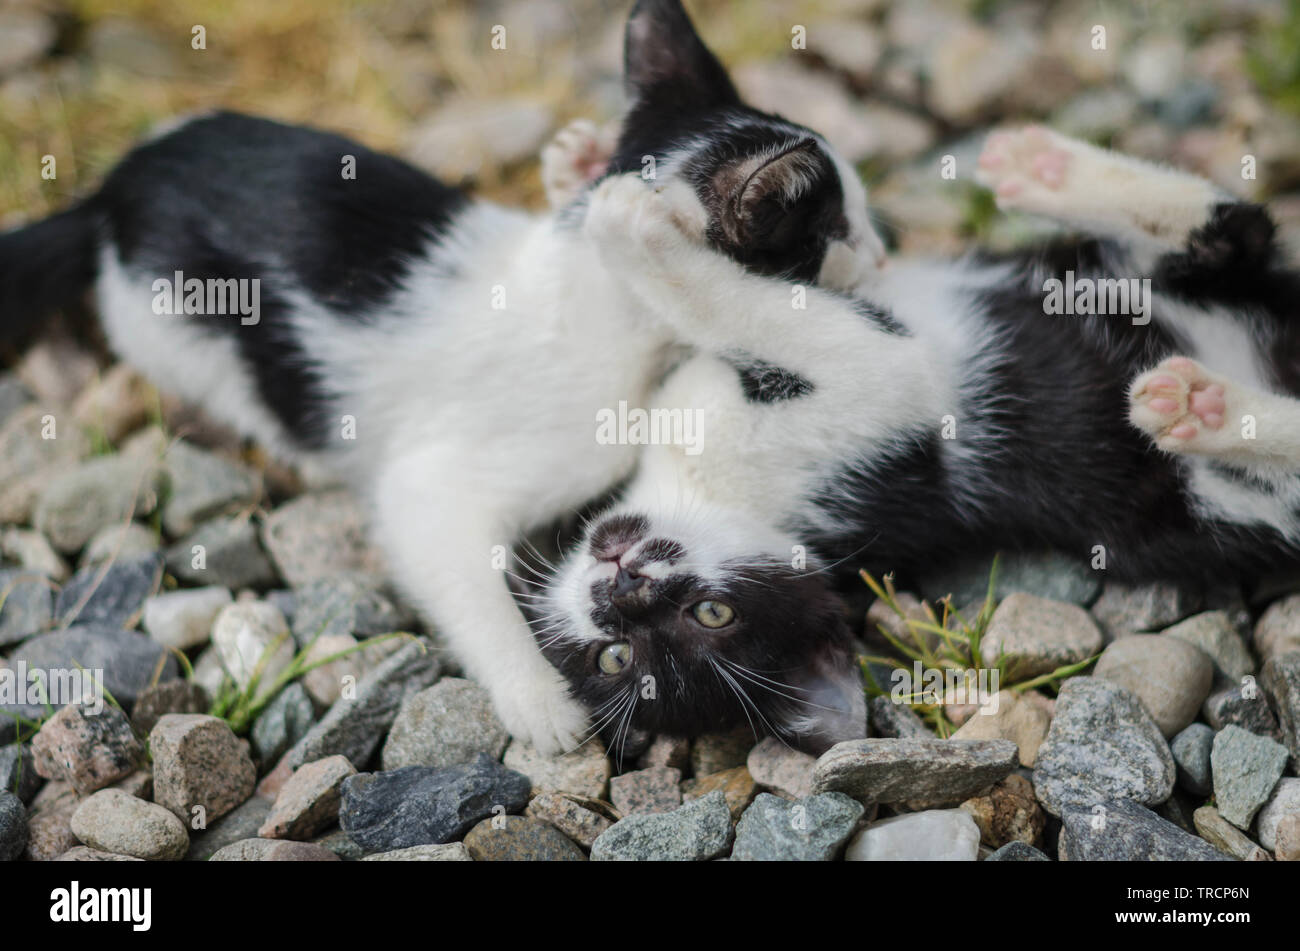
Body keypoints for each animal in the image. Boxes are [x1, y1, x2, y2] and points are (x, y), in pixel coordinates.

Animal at [0, 1, 883, 758]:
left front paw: (578, 160)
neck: (580, 287)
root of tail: (110, 193)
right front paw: (540, 701)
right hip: (168, 330)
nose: (879, 254)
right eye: (837, 228)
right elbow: (460, 570)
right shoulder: (442, 483)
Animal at [543, 124, 1300, 748]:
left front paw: (600, 187)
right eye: (616, 657)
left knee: (1233, 233)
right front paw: (606, 198)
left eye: (710, 613)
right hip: (1220, 504)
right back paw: (1199, 404)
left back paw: (1048, 171)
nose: (622, 590)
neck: (705, 490)